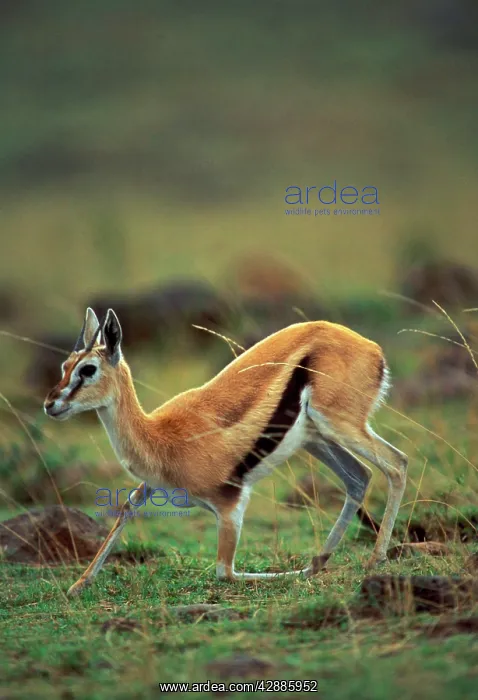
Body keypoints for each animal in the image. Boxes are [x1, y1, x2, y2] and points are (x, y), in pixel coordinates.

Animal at [44, 308, 408, 596]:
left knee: (397, 464)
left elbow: (225, 573)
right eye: (65, 365)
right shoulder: (150, 486)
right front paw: (78, 585)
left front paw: (291, 574)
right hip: (316, 439)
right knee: (359, 477)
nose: (51, 404)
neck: (158, 435)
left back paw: (370, 560)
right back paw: (318, 562)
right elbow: (126, 509)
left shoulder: (231, 506)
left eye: (88, 369)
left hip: (339, 426)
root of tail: (372, 348)